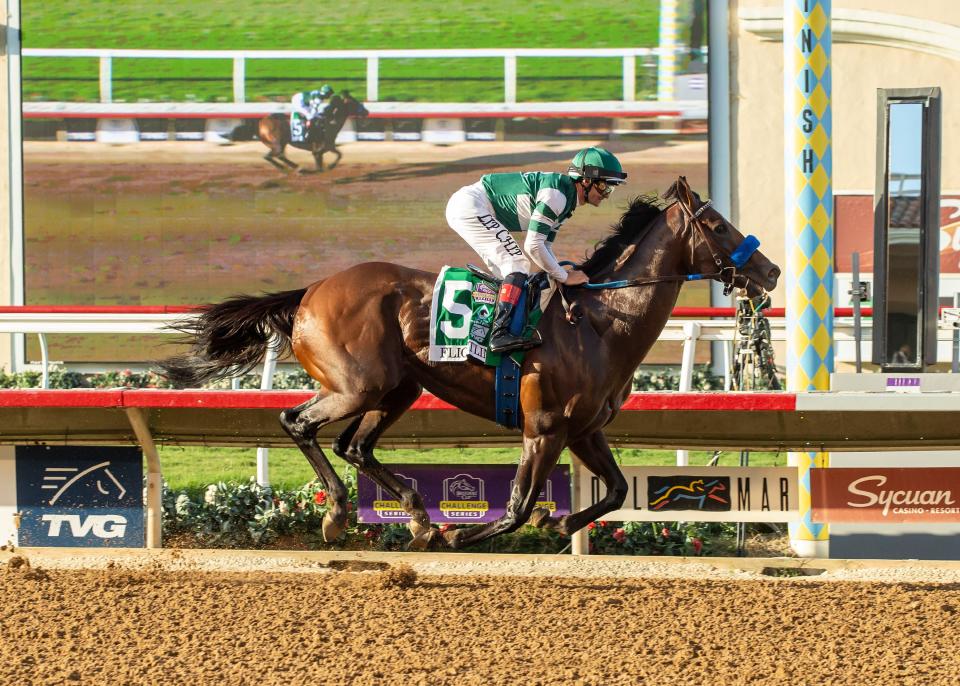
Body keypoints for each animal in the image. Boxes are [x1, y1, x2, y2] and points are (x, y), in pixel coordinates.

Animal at [159, 179, 780, 552]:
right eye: (718, 226)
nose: (770, 272)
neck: (602, 321)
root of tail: (311, 291)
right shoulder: (544, 426)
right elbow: (516, 507)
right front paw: (468, 535)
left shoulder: (583, 430)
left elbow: (617, 490)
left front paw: (556, 522)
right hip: (358, 385)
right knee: (299, 423)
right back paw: (339, 513)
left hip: (398, 389)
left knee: (354, 445)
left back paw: (417, 517)